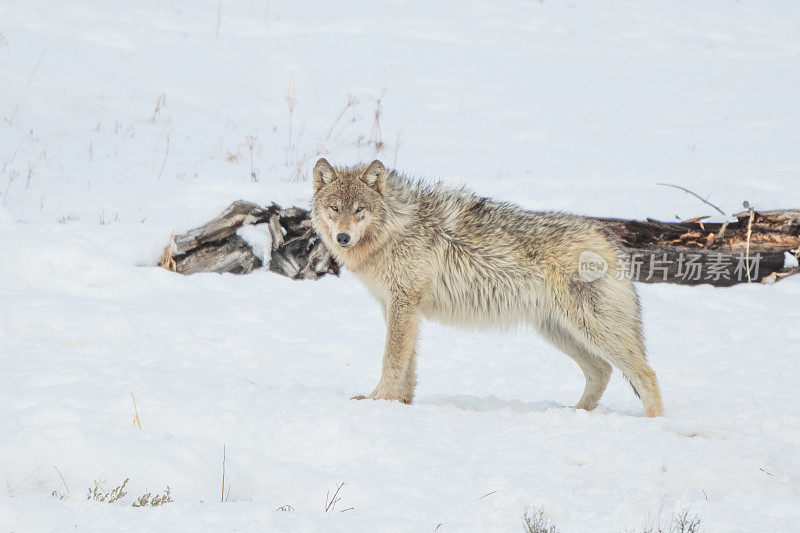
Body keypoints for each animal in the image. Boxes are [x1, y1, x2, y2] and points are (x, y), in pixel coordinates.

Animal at [310, 156, 664, 418]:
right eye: (334, 209)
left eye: (359, 209)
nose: (343, 237)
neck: (395, 227)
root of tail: (607, 236)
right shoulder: (398, 308)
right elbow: (407, 365)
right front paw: (400, 404)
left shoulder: (403, 304)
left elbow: (392, 361)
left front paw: (376, 402)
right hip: (559, 331)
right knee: (601, 371)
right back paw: (575, 414)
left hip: (592, 329)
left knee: (646, 374)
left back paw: (654, 425)